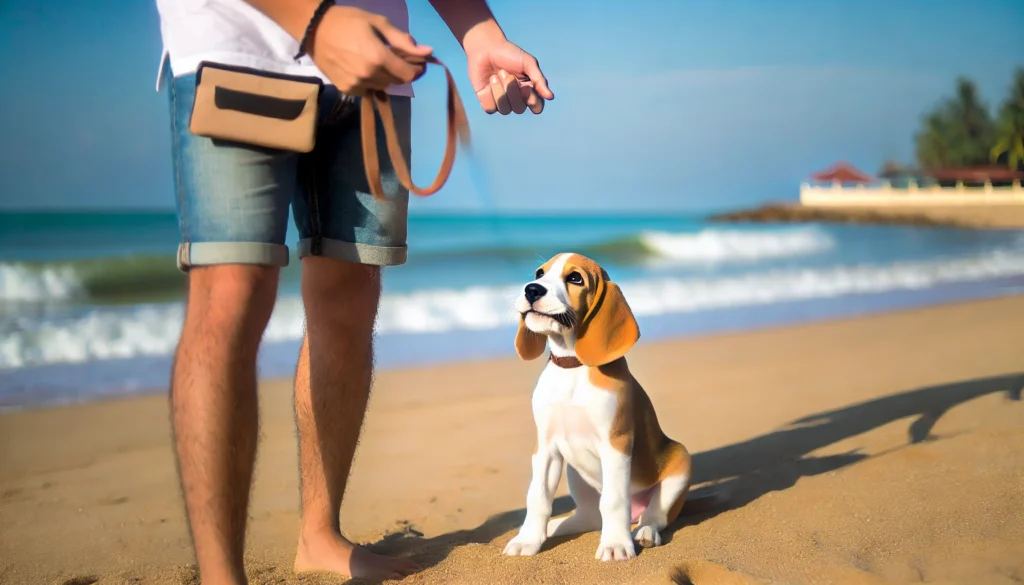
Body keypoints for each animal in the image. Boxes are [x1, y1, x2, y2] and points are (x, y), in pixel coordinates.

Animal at [501, 253, 692, 561]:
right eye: (540, 273)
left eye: (575, 278)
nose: (532, 289)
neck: (572, 367)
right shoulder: (546, 448)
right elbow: (538, 497)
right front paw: (528, 539)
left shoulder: (616, 443)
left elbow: (614, 501)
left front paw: (615, 545)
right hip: (575, 473)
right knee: (590, 517)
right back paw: (554, 526)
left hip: (681, 466)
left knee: (654, 516)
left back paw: (645, 533)